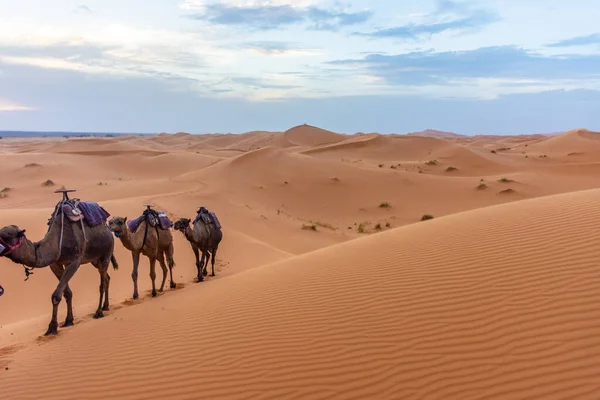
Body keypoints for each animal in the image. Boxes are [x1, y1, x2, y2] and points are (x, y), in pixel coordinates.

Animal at [0, 192, 118, 336]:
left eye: (5, 237)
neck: (56, 242)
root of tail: (107, 228)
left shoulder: (74, 262)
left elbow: (56, 295)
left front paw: (52, 327)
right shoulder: (55, 264)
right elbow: (67, 293)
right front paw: (68, 320)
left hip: (108, 250)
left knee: (102, 282)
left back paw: (99, 311)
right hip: (94, 259)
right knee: (106, 277)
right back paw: (106, 306)